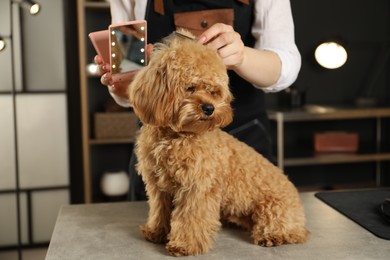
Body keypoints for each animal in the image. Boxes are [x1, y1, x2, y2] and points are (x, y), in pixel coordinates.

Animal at [129, 31, 310, 256]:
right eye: (190, 88)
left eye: (214, 91)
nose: (209, 108)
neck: (178, 136)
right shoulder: (158, 186)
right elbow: (159, 210)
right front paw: (156, 232)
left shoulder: (197, 187)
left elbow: (190, 218)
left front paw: (184, 245)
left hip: (273, 209)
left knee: (289, 232)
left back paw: (273, 236)